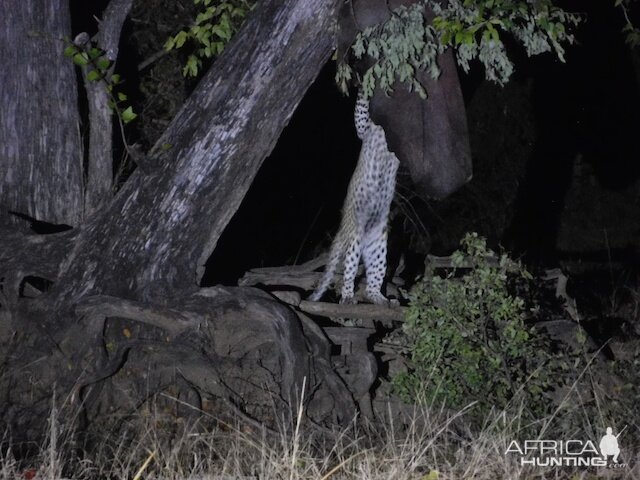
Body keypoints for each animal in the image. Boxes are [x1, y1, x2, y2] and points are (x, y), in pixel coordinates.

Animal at [310, 92, 400, 306]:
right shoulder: (363, 128)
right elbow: (361, 108)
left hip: (378, 247)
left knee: (373, 278)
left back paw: (381, 298)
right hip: (354, 239)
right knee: (349, 272)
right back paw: (348, 297)